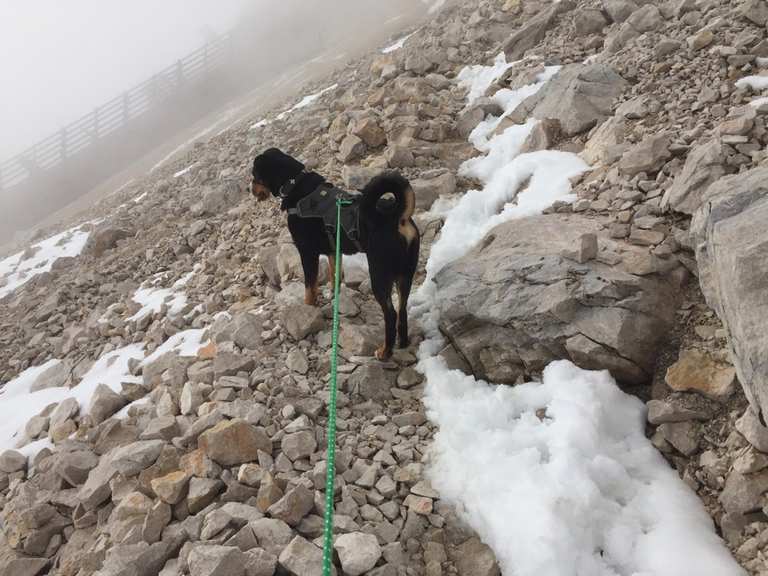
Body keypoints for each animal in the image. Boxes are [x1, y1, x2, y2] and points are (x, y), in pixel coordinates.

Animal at [252, 147, 420, 360]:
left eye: (254, 176)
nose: (251, 190)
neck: (295, 184)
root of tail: (398, 218)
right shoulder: (334, 249)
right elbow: (334, 275)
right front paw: (334, 296)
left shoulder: (307, 253)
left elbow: (310, 287)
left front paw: (308, 309)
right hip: (405, 275)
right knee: (403, 308)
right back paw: (403, 342)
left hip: (380, 275)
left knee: (391, 314)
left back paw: (385, 351)